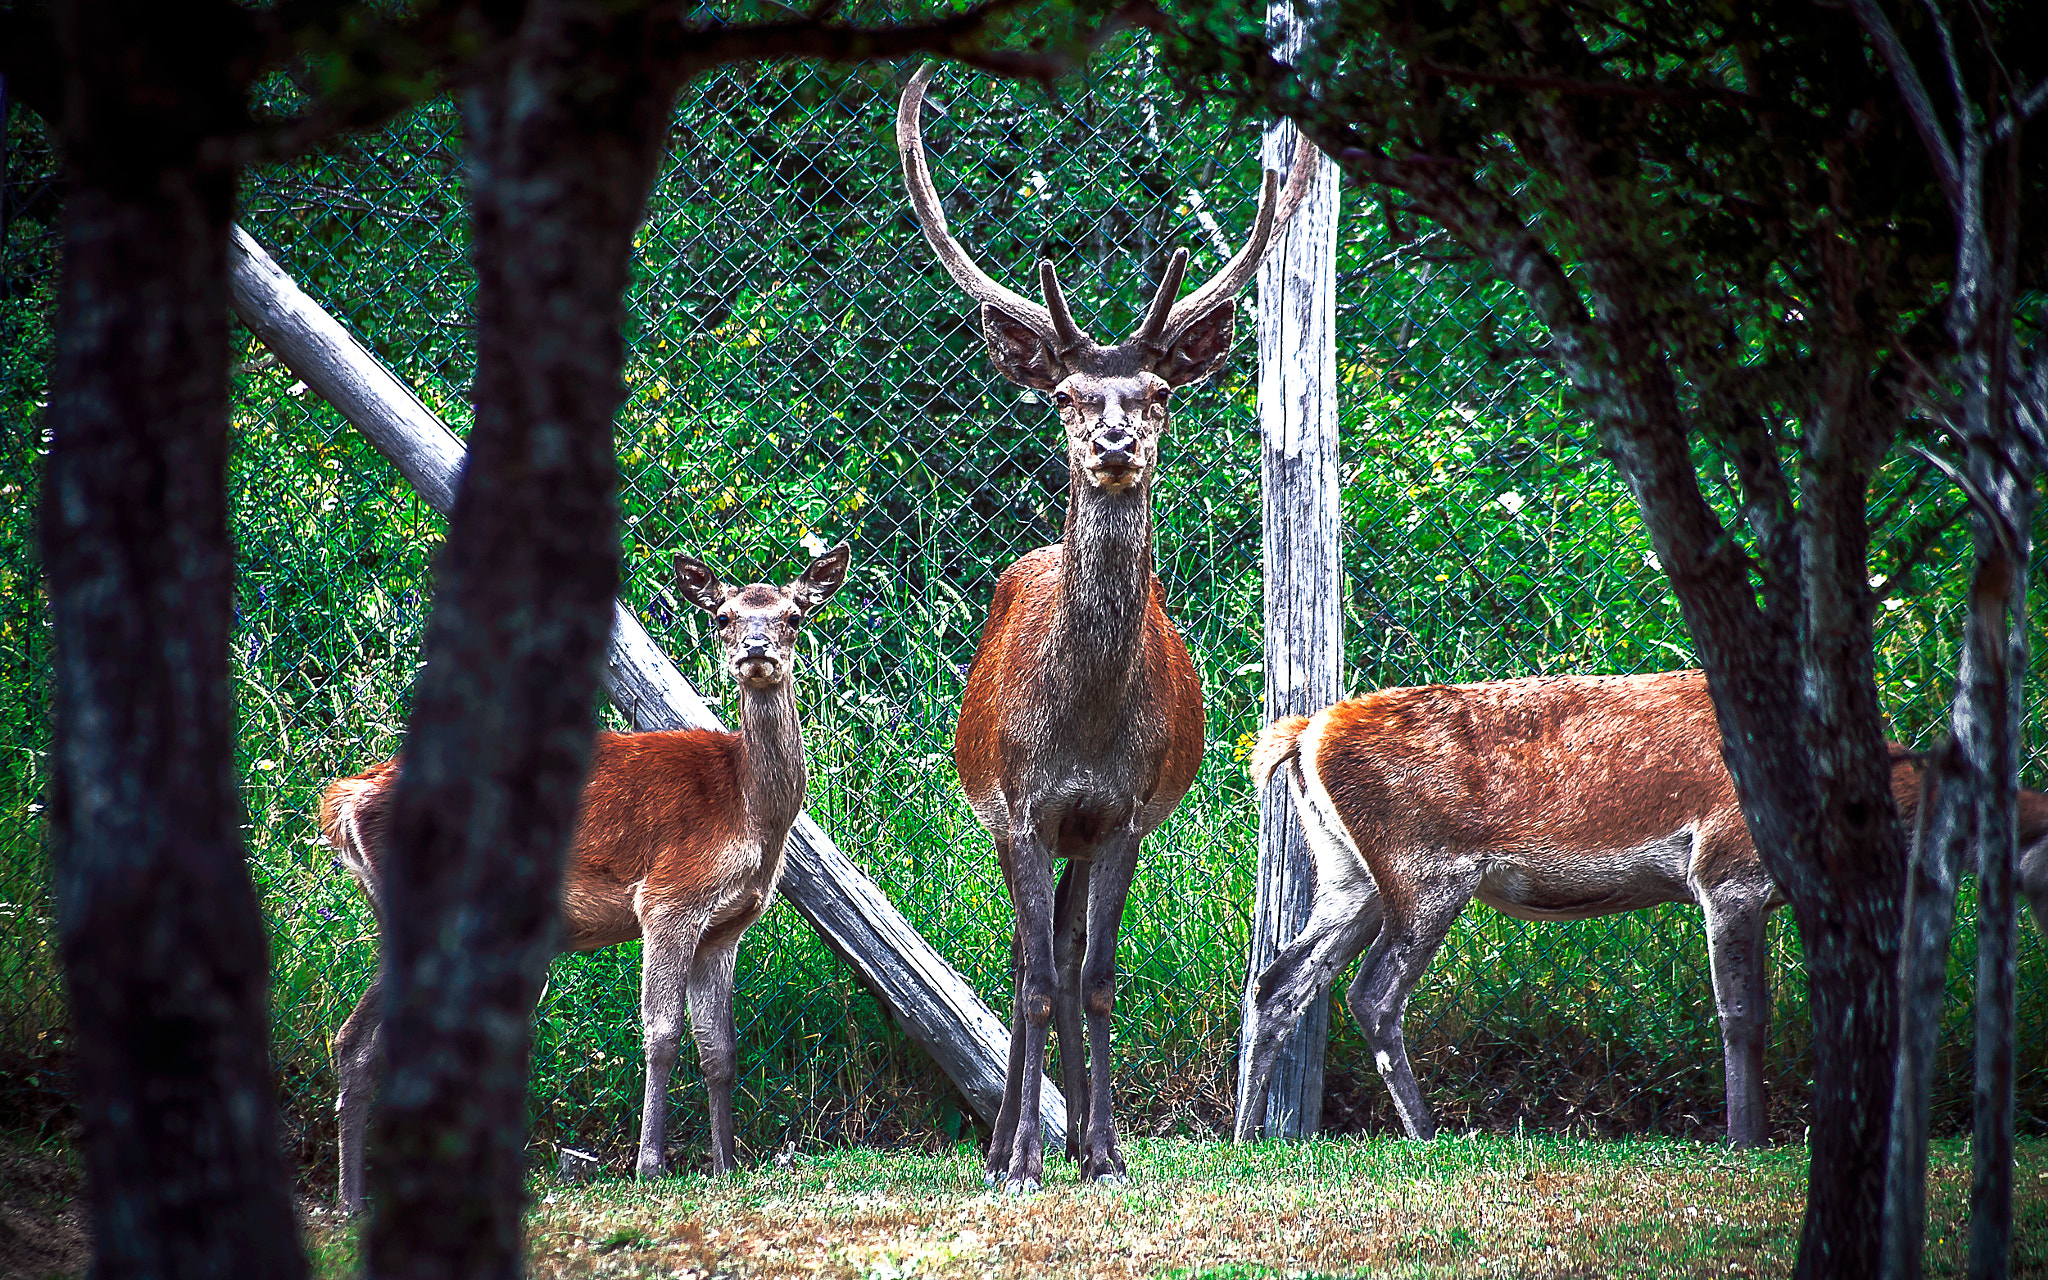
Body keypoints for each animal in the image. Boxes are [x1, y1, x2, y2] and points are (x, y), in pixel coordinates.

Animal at [320, 543, 851, 1212]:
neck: (748, 811)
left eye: (794, 615)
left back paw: (356, 1198)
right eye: (723, 616)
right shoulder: (668, 899)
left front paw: (727, 1164)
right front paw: (651, 1165)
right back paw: (360, 1195)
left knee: (356, 1041)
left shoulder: (726, 926)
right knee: (365, 1039)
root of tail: (342, 802)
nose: (756, 650)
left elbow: (720, 1049)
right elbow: (662, 1034)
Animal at [898, 62, 1317, 1192]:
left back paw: (1076, 1135)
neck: (1080, 724)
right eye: (1068, 396)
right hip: (1016, 818)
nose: (1117, 441)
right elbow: (1040, 977)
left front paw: (1107, 1151)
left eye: (1160, 388)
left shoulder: (1123, 809)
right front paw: (1018, 1161)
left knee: (1063, 943)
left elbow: (1094, 975)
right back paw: (1008, 1141)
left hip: (1085, 835)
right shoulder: (1017, 805)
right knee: (1018, 957)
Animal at [1235, 667, 2048, 1149]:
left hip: (1350, 879)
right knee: (1372, 992)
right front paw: (1745, 1139)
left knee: (1278, 981)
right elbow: (1743, 1013)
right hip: (1424, 873)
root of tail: (1304, 736)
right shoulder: (1727, 871)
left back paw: (1249, 1135)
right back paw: (1430, 1132)